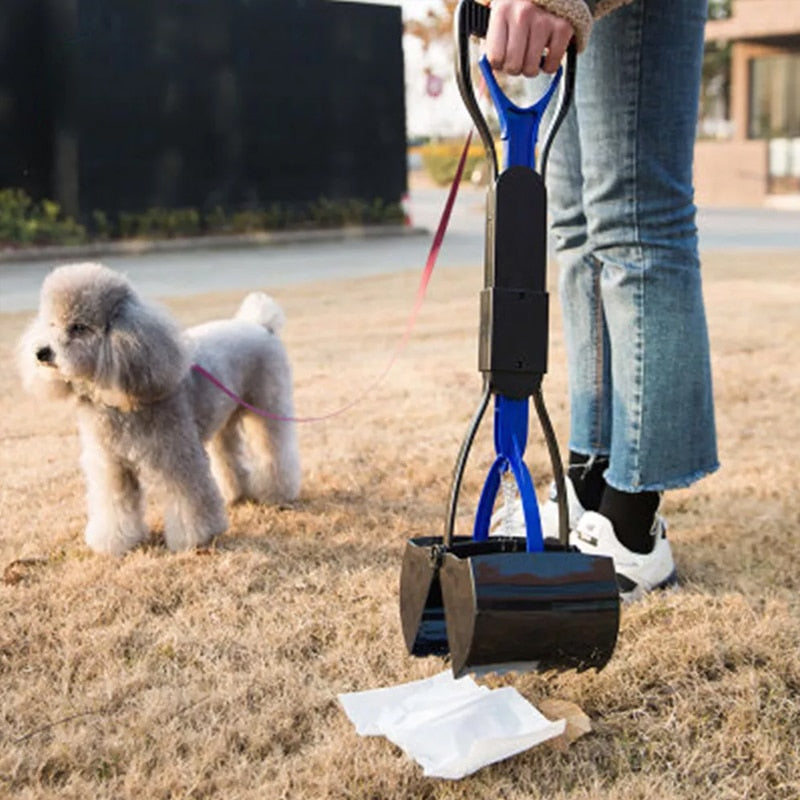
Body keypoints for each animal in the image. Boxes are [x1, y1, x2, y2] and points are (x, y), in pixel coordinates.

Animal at [18, 262, 302, 556]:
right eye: (50, 324)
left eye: (79, 327)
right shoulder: (112, 465)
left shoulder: (177, 456)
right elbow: (114, 505)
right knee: (227, 453)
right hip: (223, 417)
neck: (117, 396)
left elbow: (188, 499)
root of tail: (260, 324)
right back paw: (234, 494)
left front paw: (196, 539)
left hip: (267, 404)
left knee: (274, 448)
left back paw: (276, 492)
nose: (41, 353)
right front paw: (115, 542)